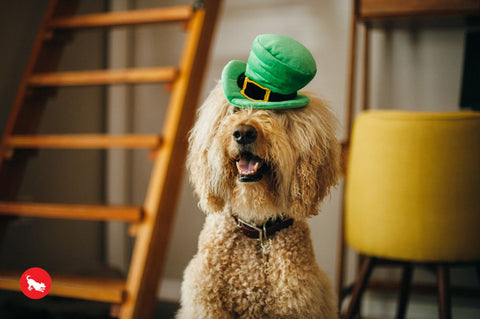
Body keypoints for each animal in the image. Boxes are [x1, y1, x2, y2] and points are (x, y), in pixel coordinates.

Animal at [177, 33, 342, 318]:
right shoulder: (205, 304)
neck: (256, 227)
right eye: (234, 111)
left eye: (274, 113)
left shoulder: (297, 305)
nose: (243, 133)